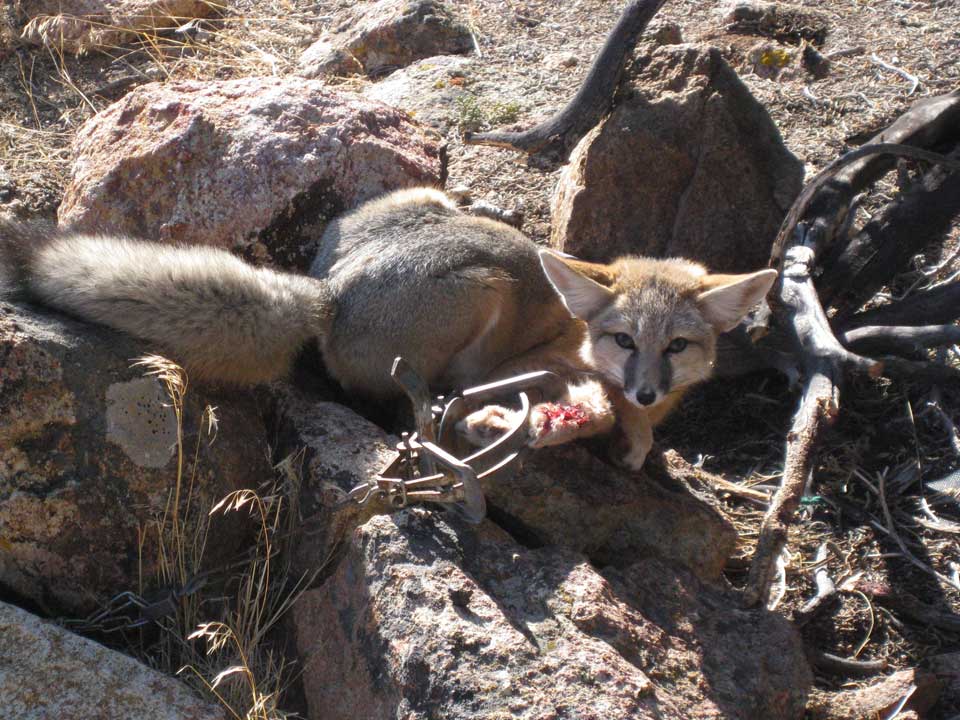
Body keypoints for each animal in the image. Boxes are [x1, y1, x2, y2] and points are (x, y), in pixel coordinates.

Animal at [0, 187, 776, 466]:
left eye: (678, 346)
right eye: (624, 341)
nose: (648, 390)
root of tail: (328, 289)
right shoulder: (533, 367)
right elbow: (602, 411)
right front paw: (625, 436)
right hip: (485, 289)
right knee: (416, 394)